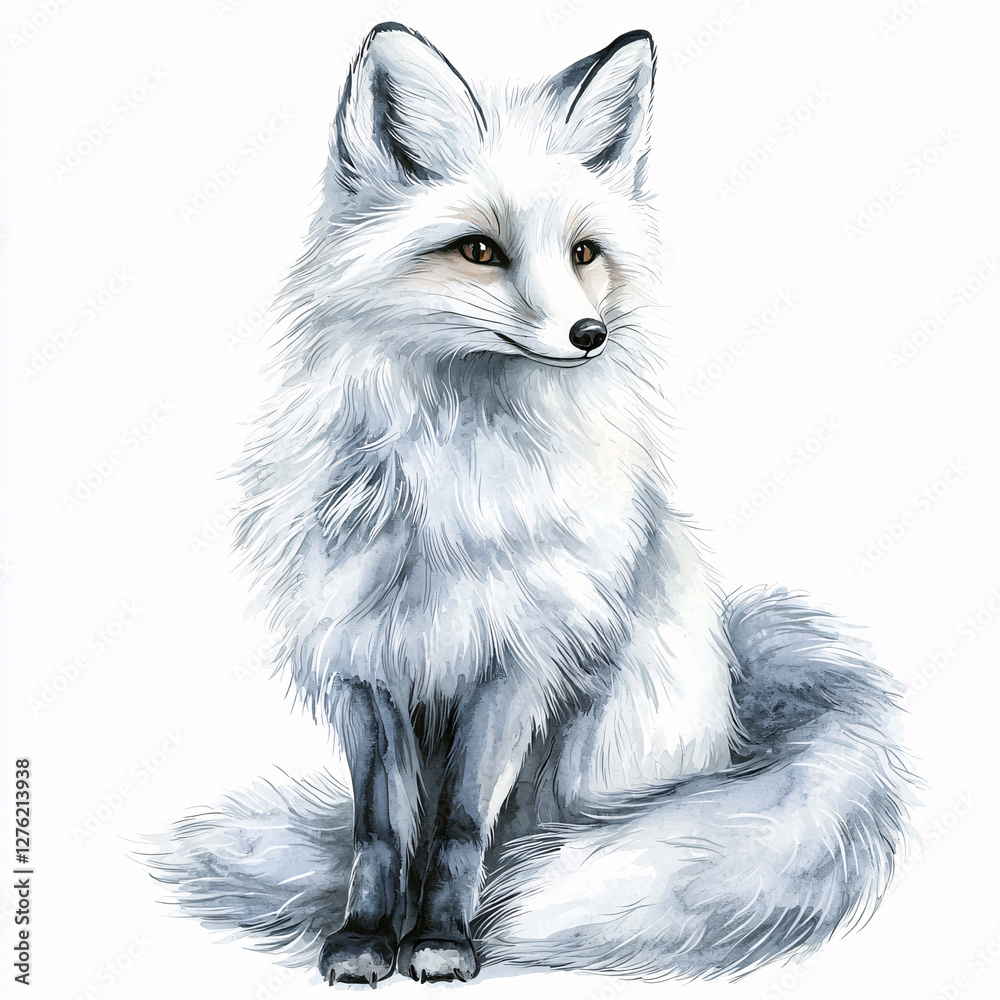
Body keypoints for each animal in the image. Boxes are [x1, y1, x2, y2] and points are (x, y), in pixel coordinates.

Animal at [167, 22, 916, 988]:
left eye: (584, 254)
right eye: (479, 250)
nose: (590, 336)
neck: (450, 483)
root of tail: (742, 707)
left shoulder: (513, 662)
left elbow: (457, 829)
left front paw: (443, 940)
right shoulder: (367, 666)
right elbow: (382, 832)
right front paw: (367, 935)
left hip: (600, 758)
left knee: (545, 830)